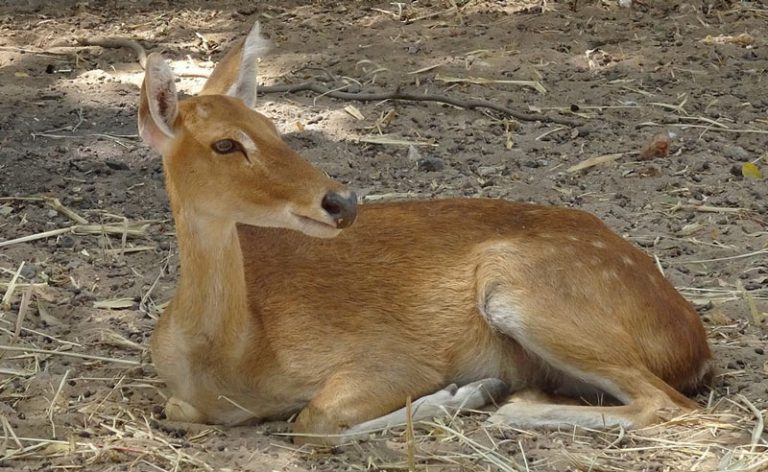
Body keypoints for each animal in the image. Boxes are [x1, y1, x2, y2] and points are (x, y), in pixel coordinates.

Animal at [138, 24, 712, 446]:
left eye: (273, 128)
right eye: (225, 144)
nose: (341, 201)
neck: (233, 360)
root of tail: (695, 344)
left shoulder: (389, 357)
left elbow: (313, 422)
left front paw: (464, 393)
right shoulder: (180, 397)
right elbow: (179, 409)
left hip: (524, 292)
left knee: (669, 403)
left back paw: (509, 407)